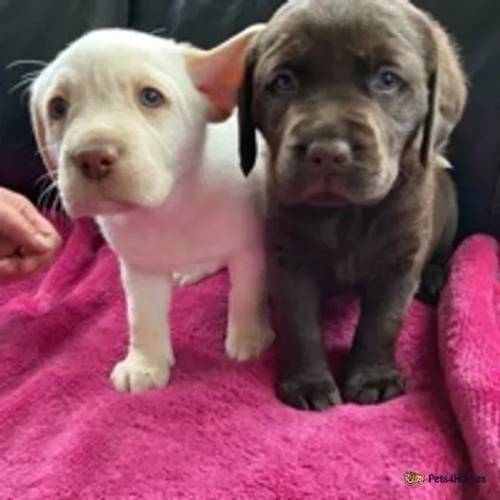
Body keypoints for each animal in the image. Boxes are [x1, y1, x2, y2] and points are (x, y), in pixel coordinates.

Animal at [30, 27, 274, 392]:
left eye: (151, 97)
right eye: (58, 107)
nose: (92, 157)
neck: (171, 203)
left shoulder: (250, 250)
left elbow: (246, 294)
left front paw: (249, 337)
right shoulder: (139, 267)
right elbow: (142, 317)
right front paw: (145, 363)